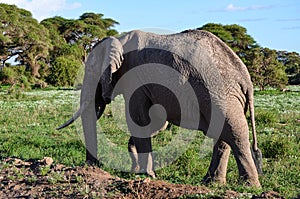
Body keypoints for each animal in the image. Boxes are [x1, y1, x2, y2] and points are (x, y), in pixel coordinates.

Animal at [58, 29, 262, 187]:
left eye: (91, 72)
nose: (90, 166)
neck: (119, 39)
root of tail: (246, 80)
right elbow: (155, 123)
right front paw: (138, 169)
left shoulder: (135, 78)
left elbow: (138, 119)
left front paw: (145, 175)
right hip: (225, 96)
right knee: (222, 134)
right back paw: (211, 183)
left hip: (221, 93)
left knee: (235, 133)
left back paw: (250, 186)